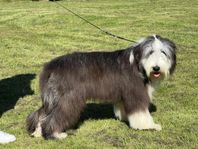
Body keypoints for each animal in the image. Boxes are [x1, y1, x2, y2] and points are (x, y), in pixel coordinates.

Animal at [26, 35, 176, 140]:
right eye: (150, 52)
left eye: (163, 52)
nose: (156, 68)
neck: (138, 63)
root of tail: (51, 65)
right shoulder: (136, 93)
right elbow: (141, 112)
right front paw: (148, 126)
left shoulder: (124, 93)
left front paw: (125, 118)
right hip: (69, 98)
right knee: (55, 116)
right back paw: (56, 134)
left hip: (53, 96)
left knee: (42, 114)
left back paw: (37, 132)